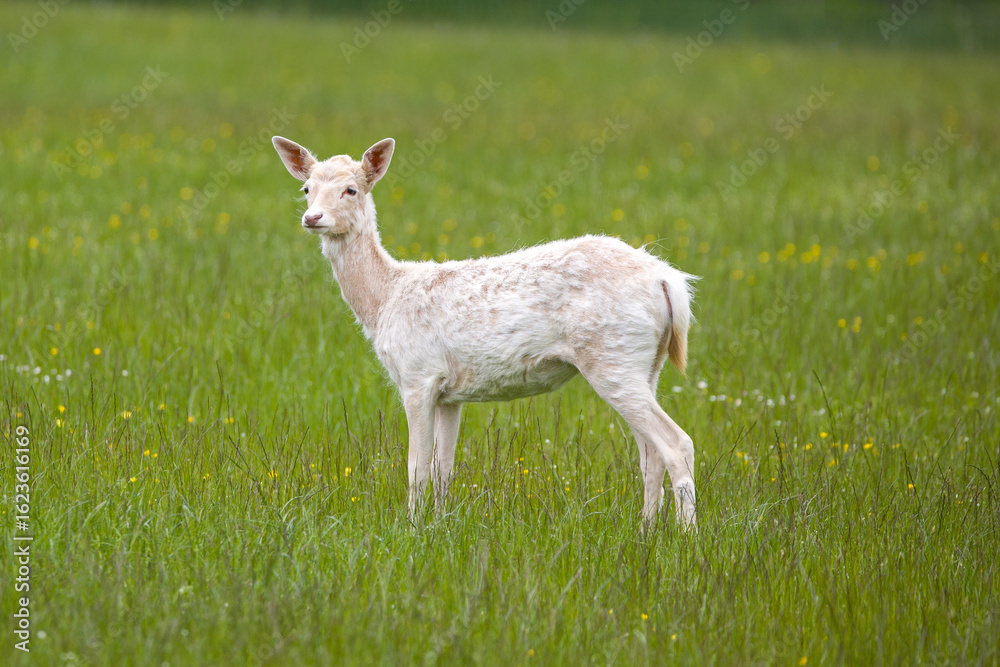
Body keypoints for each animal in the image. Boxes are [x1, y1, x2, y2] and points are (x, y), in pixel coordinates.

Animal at [272, 136, 698, 529]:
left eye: (351, 189)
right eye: (306, 188)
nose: (313, 218)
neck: (384, 301)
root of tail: (668, 281)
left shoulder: (417, 376)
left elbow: (416, 469)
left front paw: (410, 529)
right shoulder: (449, 394)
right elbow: (443, 469)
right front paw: (438, 526)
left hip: (612, 356)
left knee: (676, 443)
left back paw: (686, 538)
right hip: (645, 363)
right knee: (650, 452)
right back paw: (646, 530)